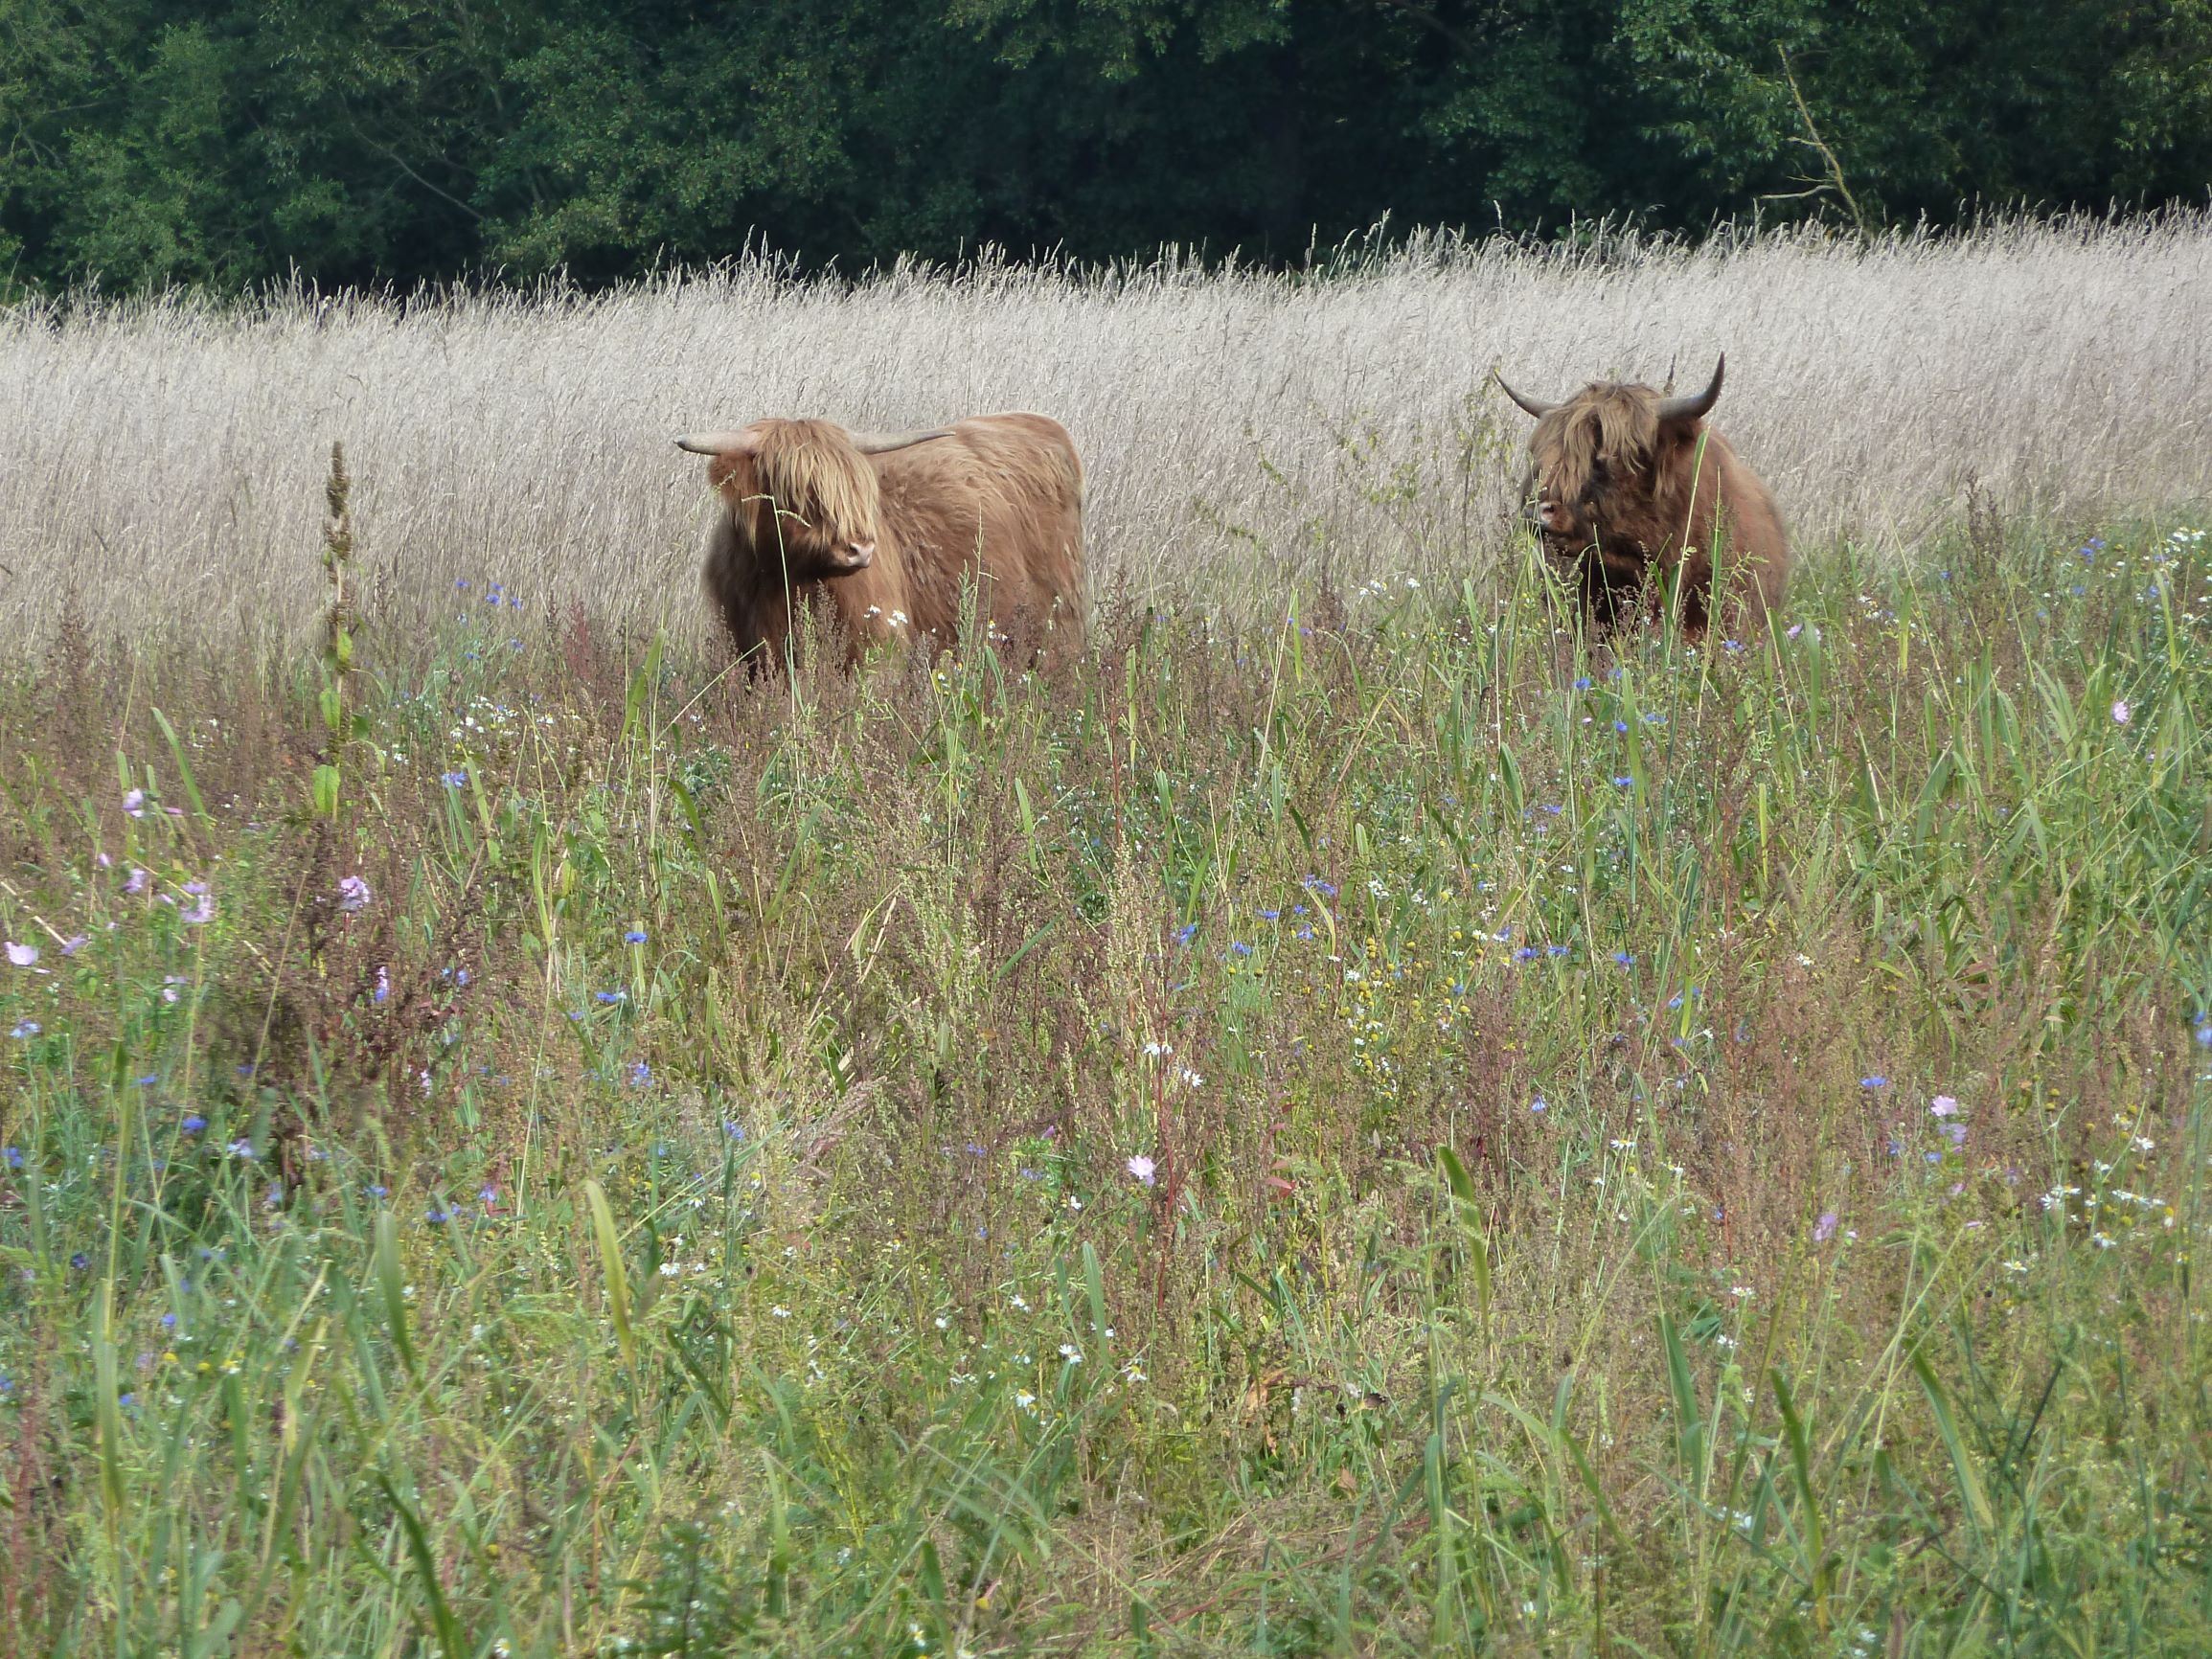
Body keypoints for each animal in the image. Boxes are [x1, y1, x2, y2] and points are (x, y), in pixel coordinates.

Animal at [672, 413, 1088, 672]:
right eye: (797, 494)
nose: (859, 549)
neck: (784, 581)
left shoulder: (876, 647)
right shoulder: (752, 651)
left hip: (1059, 621)